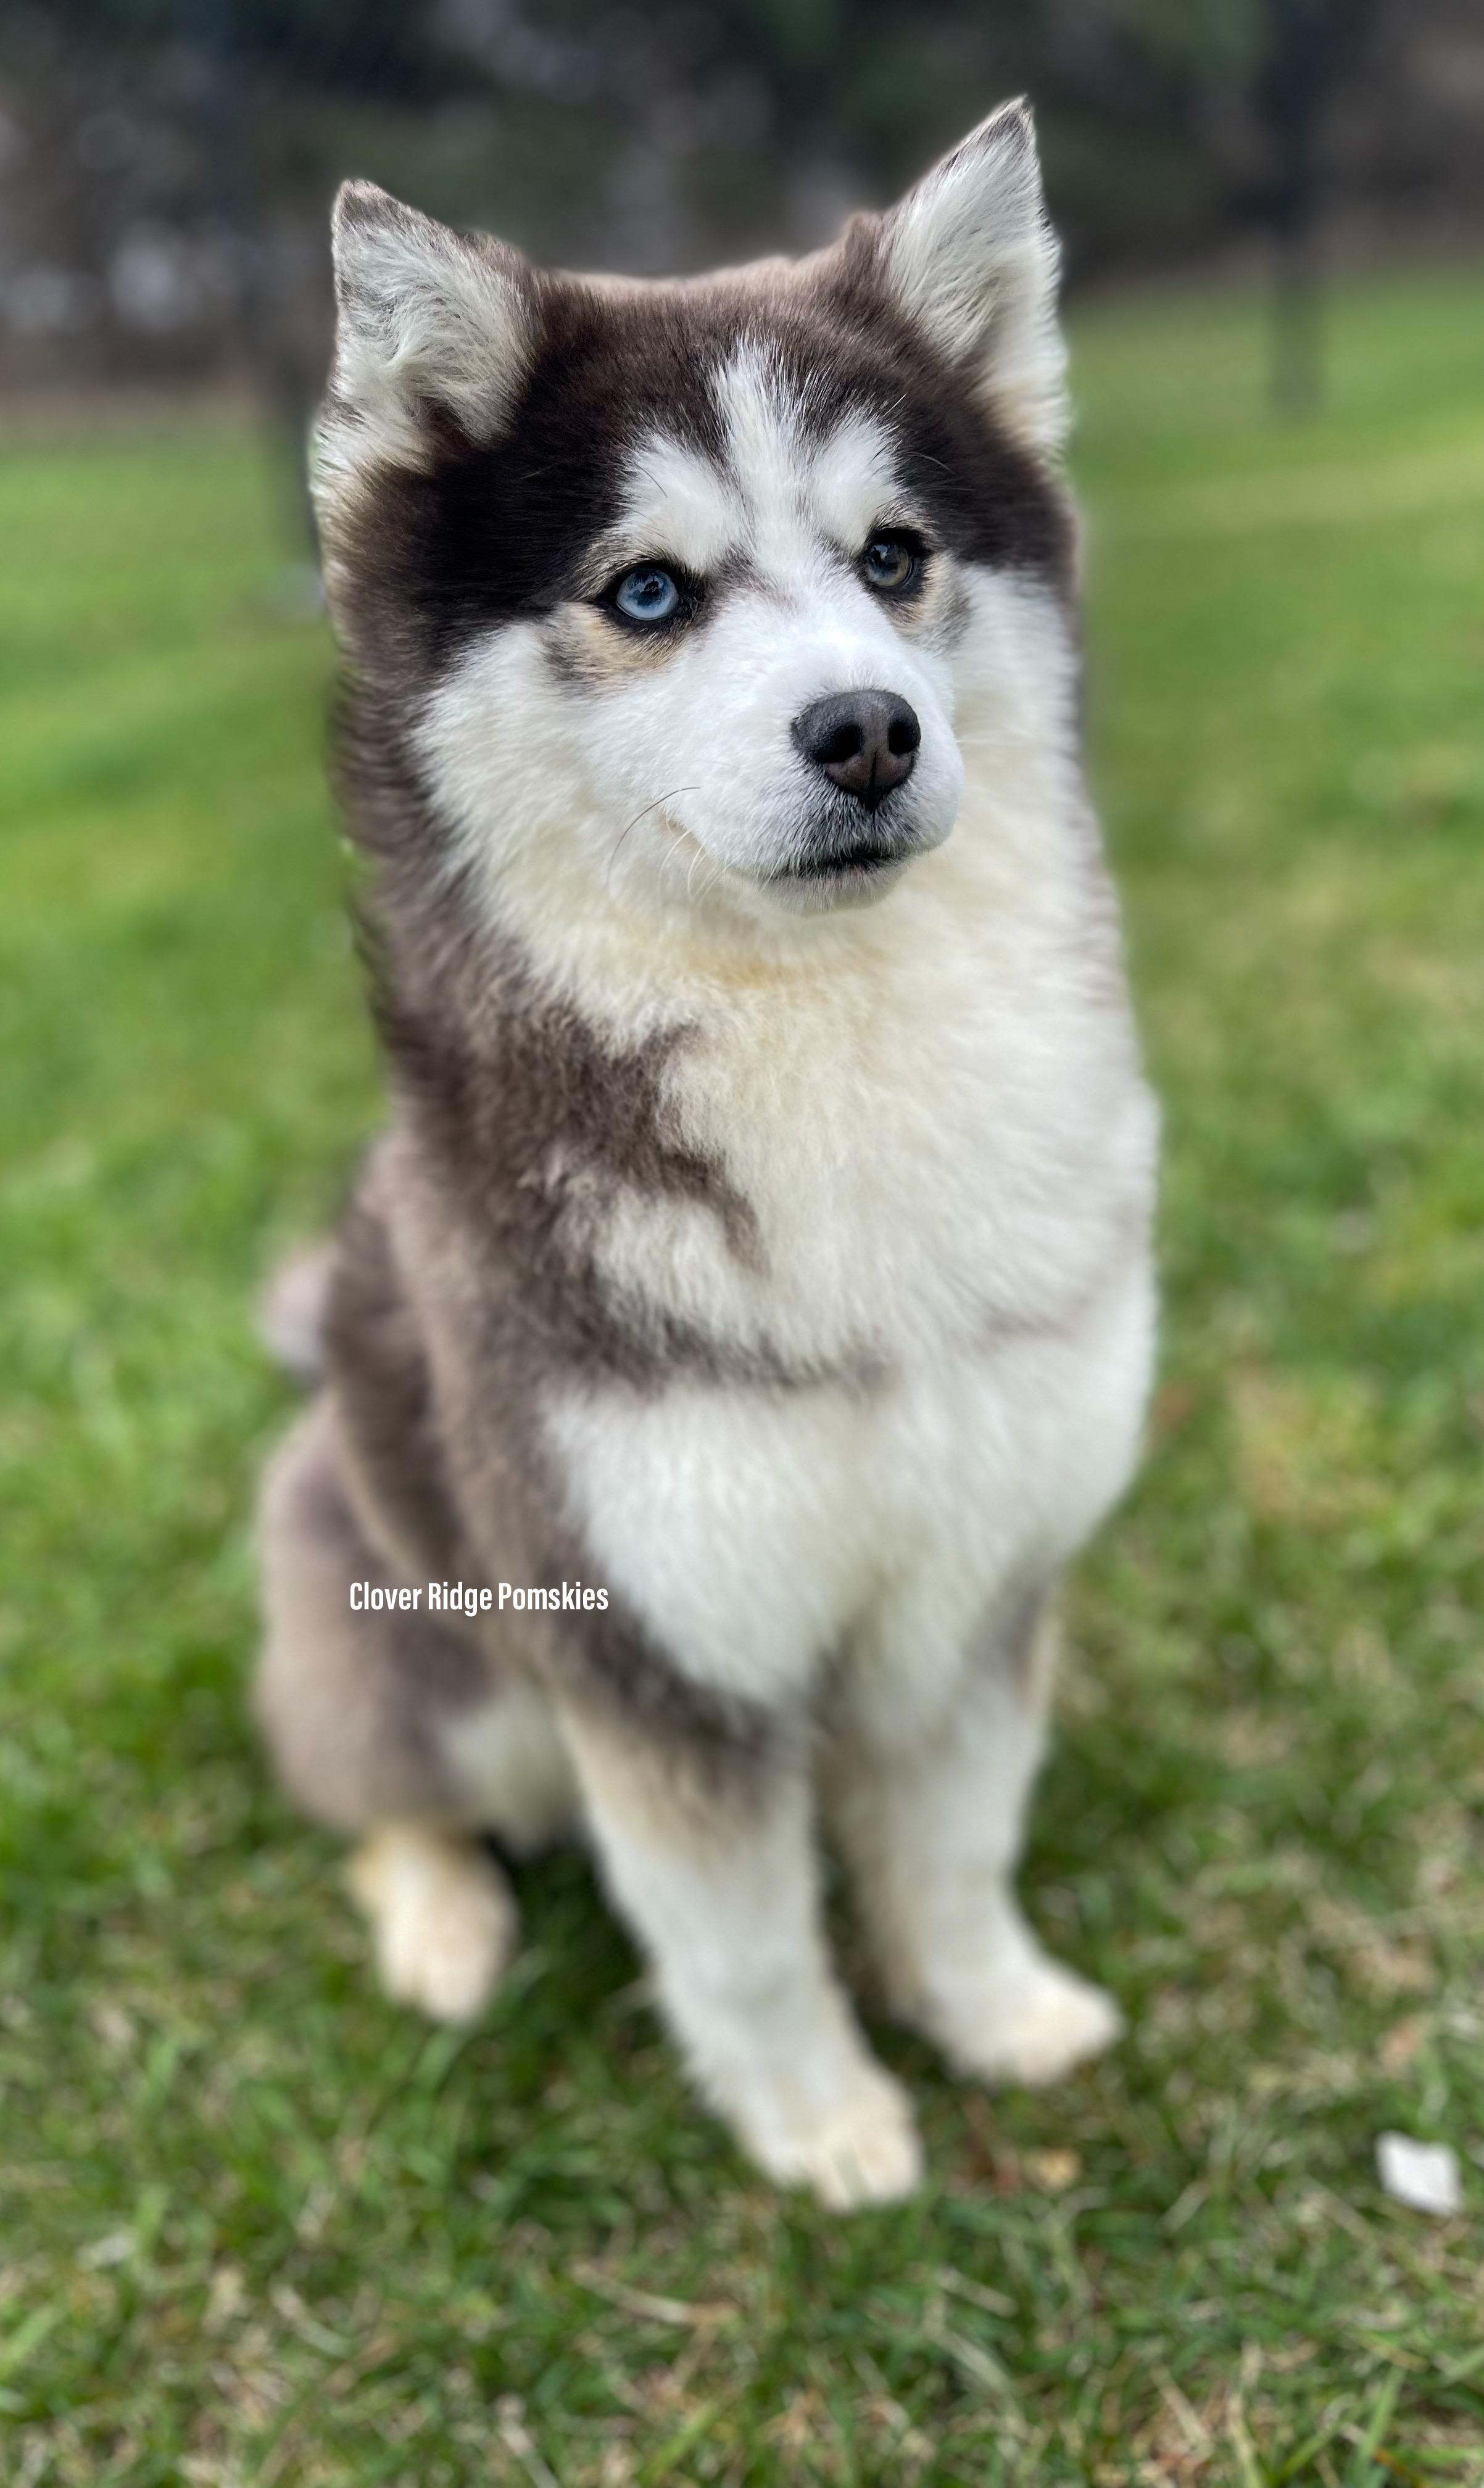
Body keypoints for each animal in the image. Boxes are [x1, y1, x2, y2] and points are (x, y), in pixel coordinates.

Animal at [255, 98, 1159, 2210]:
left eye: (893, 556)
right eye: (648, 593)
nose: (867, 731)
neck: (827, 1047)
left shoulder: (976, 1577)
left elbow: (954, 1849)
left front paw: (991, 2016)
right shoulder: (652, 1648)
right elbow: (740, 1942)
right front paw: (823, 2125)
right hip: (424, 1652)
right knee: (383, 1792)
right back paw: (441, 1927)